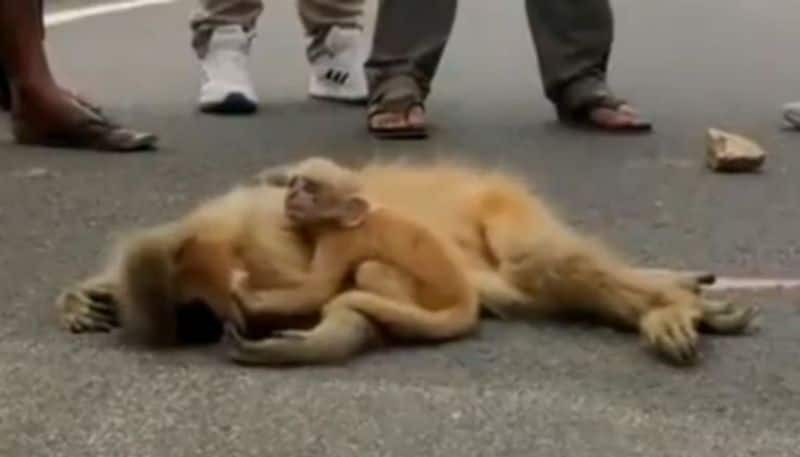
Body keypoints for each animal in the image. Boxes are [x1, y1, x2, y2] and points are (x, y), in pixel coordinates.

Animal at [225, 157, 478, 364]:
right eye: (295, 183)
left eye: (310, 188)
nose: (293, 194)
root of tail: (466, 299)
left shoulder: (338, 240)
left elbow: (315, 291)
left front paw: (244, 292)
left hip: (430, 296)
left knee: (370, 269)